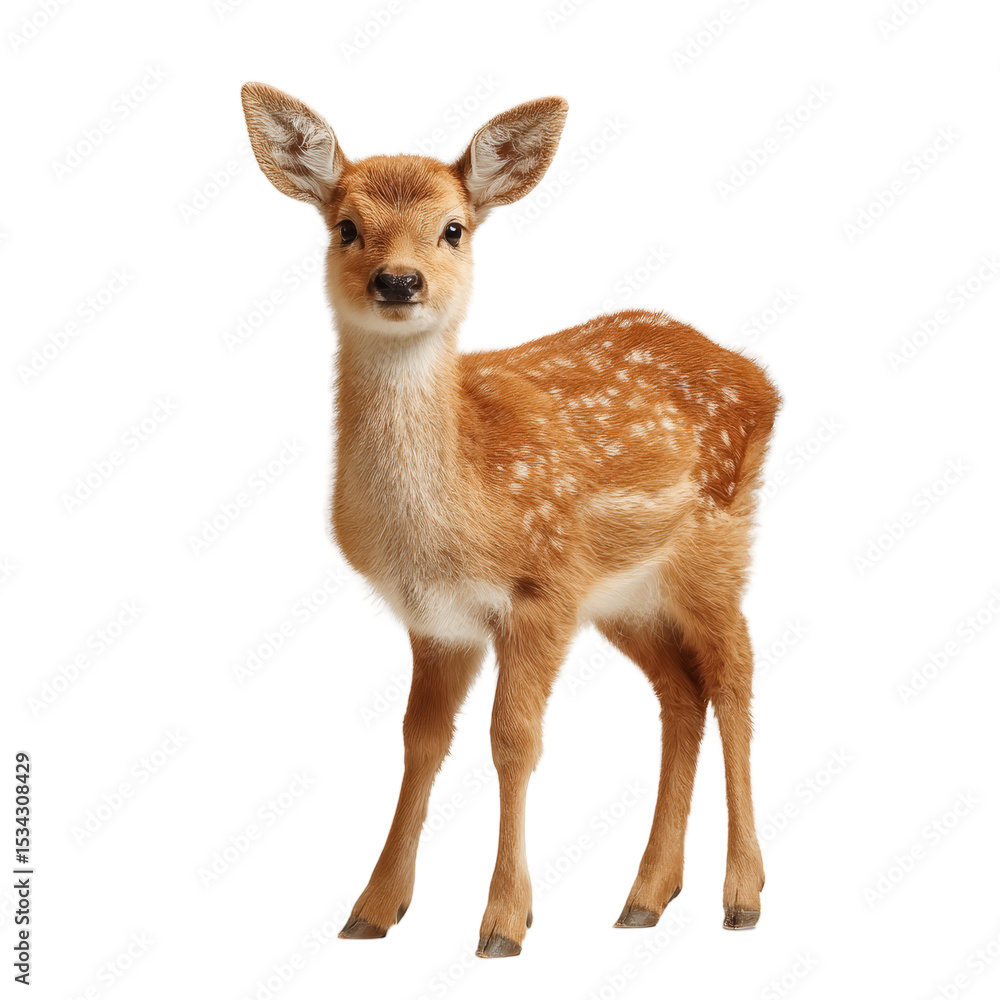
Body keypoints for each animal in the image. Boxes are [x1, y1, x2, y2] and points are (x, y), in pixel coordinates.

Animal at [240, 82, 780, 959]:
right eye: (345, 226)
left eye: (453, 228)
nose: (399, 281)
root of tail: (762, 382)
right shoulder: (440, 621)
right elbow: (421, 741)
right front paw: (372, 909)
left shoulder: (542, 589)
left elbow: (513, 741)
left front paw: (503, 921)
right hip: (625, 596)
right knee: (680, 690)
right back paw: (644, 897)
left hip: (715, 545)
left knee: (734, 675)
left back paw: (741, 895)